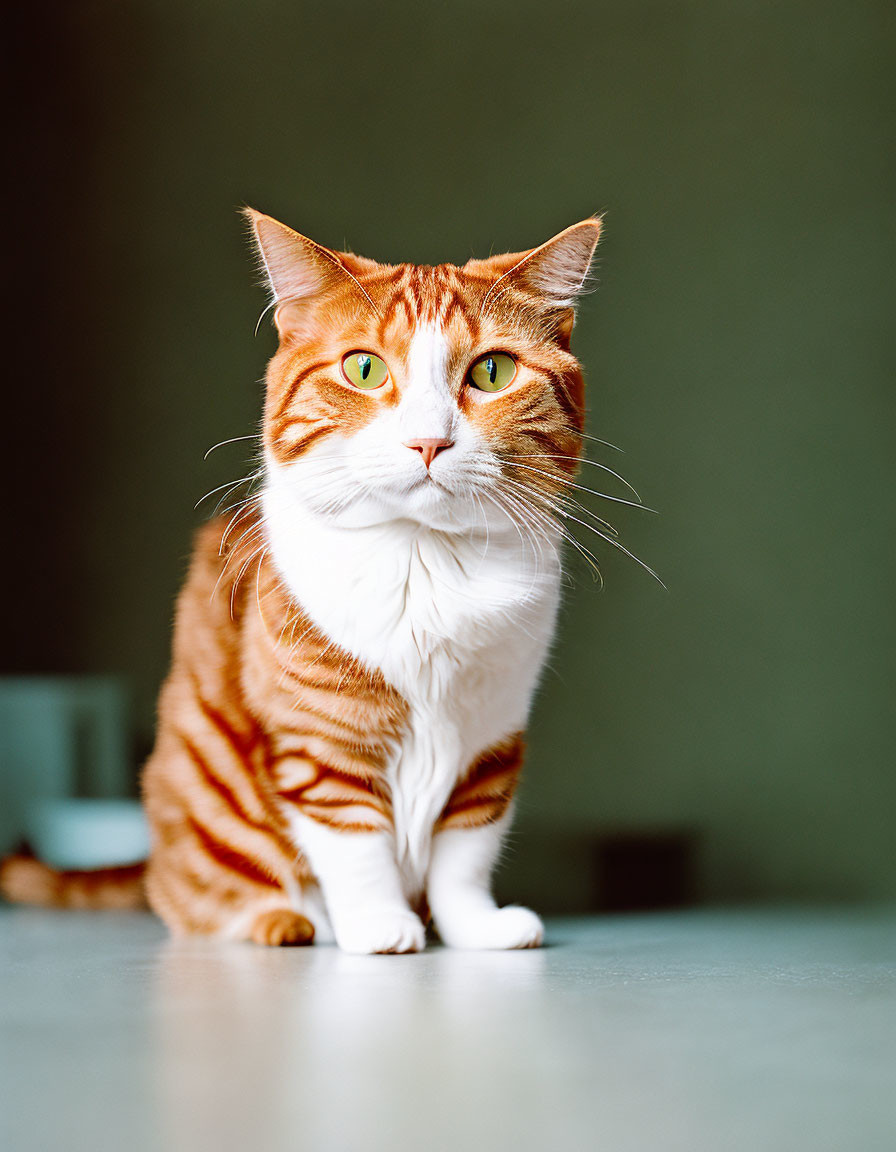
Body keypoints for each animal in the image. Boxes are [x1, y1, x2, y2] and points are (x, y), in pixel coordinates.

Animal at [1, 207, 598, 953]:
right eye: (364, 368)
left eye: (492, 371)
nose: (429, 441)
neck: (424, 561)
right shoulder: (318, 742)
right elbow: (354, 840)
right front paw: (379, 927)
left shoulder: (491, 738)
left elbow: (466, 848)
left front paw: (475, 927)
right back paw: (284, 922)